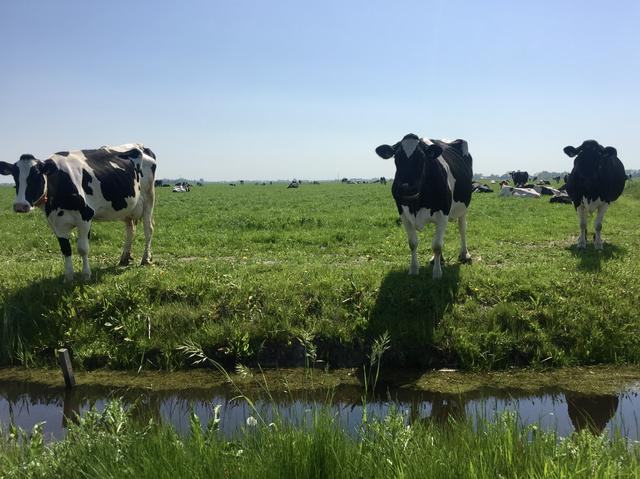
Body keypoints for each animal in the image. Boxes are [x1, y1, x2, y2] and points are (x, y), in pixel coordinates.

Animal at [0, 144, 156, 282]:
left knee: (148, 229)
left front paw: (86, 275)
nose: (20, 206)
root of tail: (141, 146)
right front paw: (68, 277)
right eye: (15, 176)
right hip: (128, 207)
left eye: (36, 176)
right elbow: (65, 249)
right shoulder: (56, 223)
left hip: (149, 198)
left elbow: (83, 248)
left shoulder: (85, 217)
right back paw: (124, 258)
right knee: (130, 230)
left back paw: (145, 259)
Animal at [375, 133, 473, 279]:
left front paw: (437, 273)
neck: (415, 204)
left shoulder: (443, 213)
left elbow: (437, 245)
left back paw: (464, 254)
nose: (406, 188)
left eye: (421, 158)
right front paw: (414, 269)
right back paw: (438, 259)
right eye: (396, 157)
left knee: (462, 229)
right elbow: (413, 243)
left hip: (463, 208)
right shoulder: (403, 214)